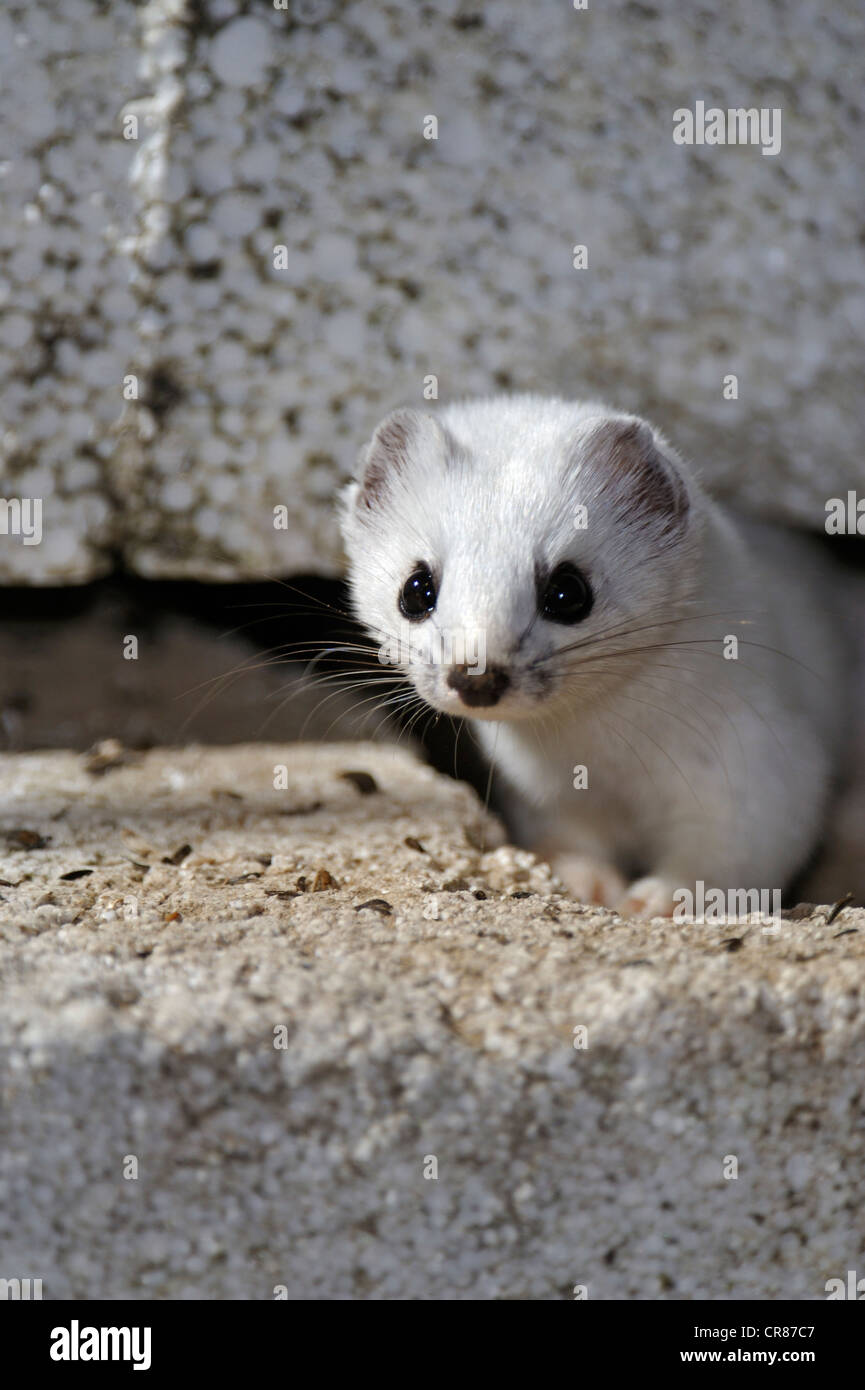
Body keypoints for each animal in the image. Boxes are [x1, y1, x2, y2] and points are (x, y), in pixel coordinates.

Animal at [343, 397, 862, 917]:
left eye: (568, 590)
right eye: (416, 588)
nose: (476, 676)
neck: (608, 763)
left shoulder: (761, 759)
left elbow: (738, 853)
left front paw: (661, 900)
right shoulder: (539, 793)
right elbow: (568, 839)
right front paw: (586, 882)